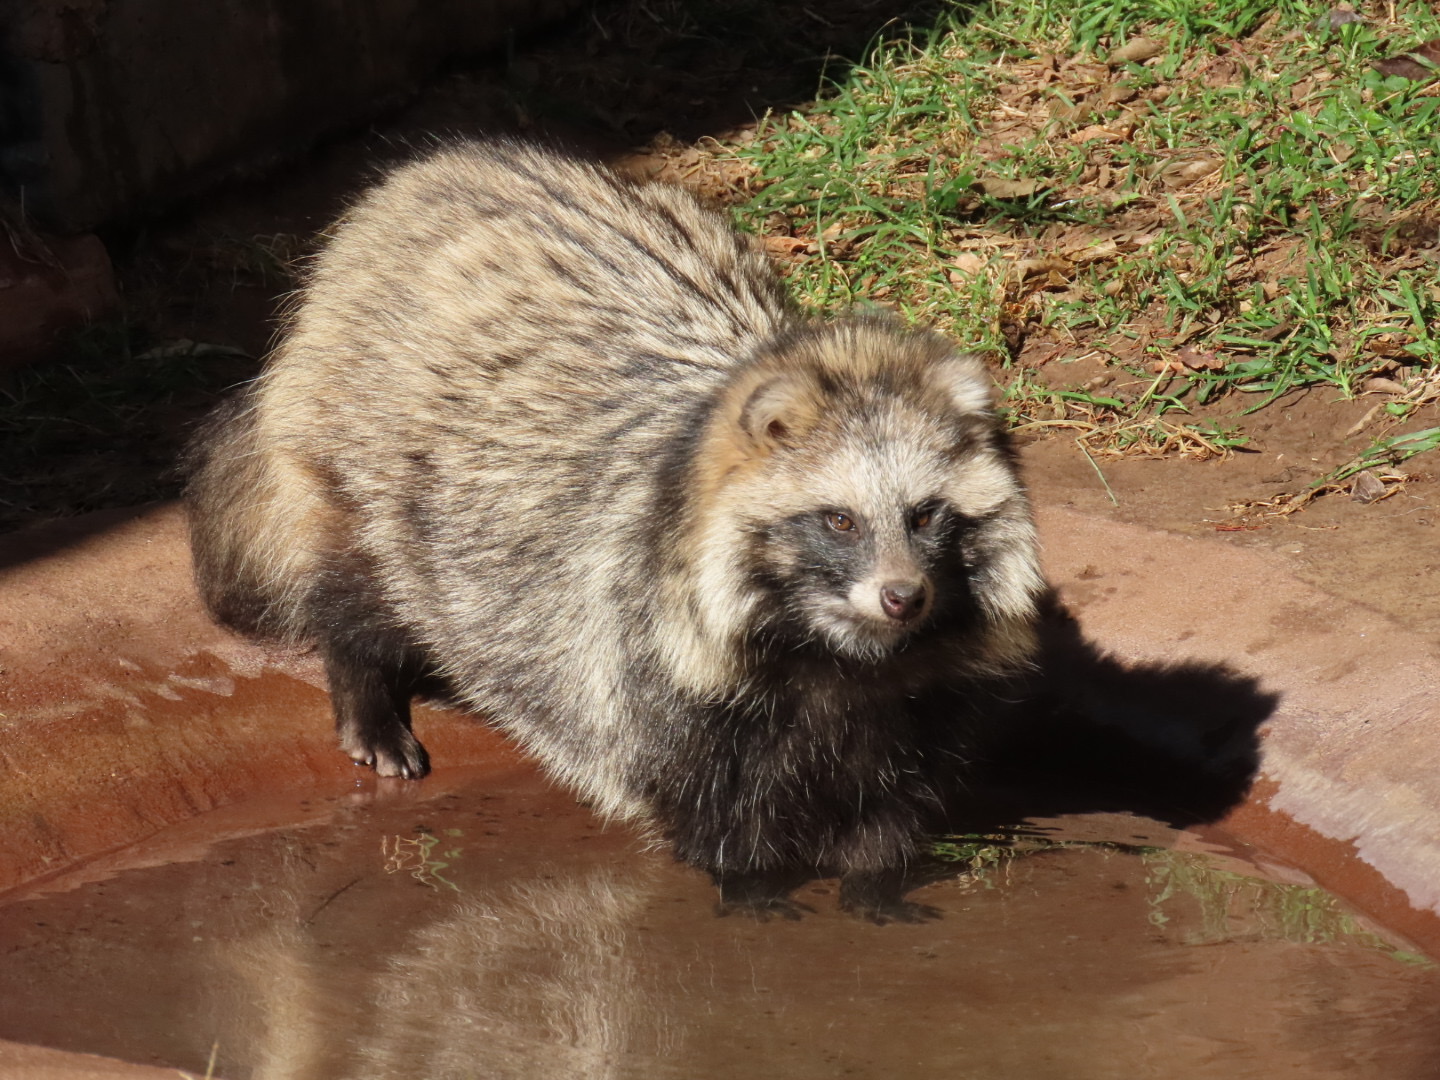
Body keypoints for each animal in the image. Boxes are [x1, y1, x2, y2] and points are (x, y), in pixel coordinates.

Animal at [185, 139, 1045, 918]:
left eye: (925, 514)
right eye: (839, 520)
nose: (903, 596)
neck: (840, 658)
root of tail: (424, 179)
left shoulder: (922, 696)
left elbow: (892, 802)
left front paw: (875, 881)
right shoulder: (655, 659)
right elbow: (709, 810)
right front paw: (753, 889)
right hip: (361, 447)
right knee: (359, 578)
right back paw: (364, 689)